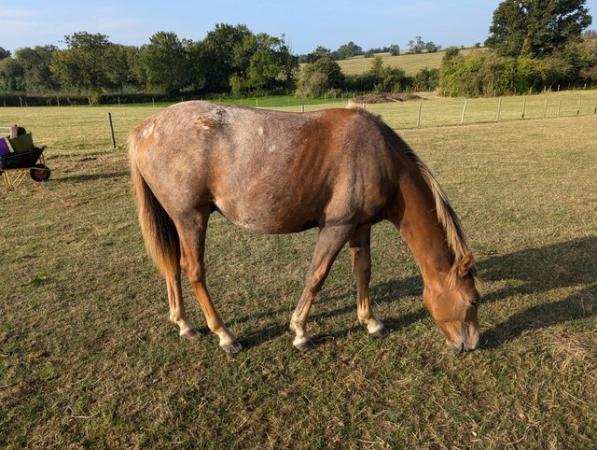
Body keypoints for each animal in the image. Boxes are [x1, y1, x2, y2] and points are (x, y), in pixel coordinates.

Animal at [130, 102, 480, 356]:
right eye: (473, 301)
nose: (471, 345)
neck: (380, 157)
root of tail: (145, 129)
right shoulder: (337, 227)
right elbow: (317, 276)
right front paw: (300, 332)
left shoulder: (360, 226)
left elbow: (363, 271)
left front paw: (370, 322)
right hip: (191, 218)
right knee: (193, 270)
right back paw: (224, 335)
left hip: (177, 219)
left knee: (172, 266)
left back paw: (184, 324)